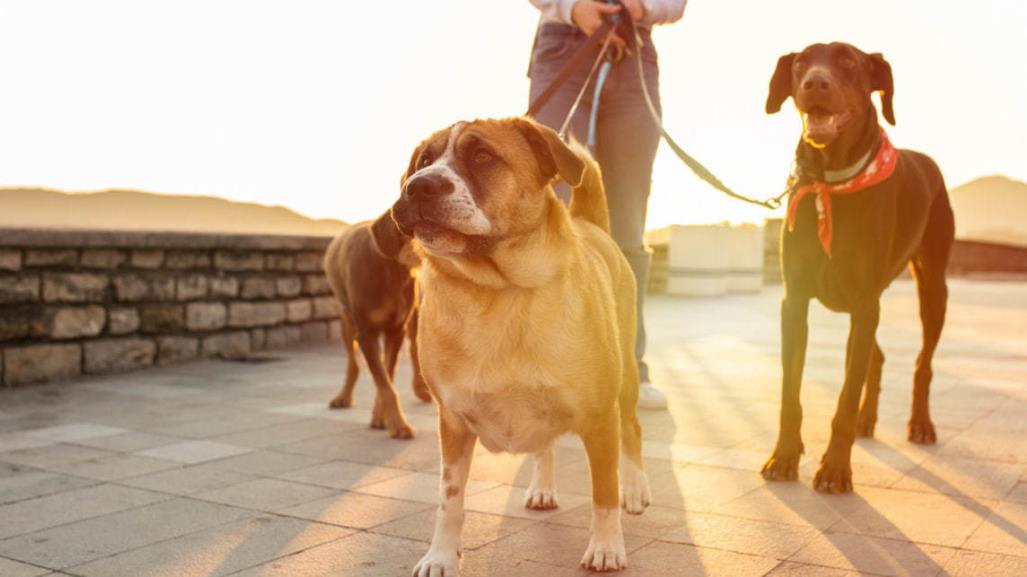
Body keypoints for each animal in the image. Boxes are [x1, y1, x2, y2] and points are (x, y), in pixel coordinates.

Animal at [322, 217, 431, 437]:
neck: (390, 269)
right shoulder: (367, 333)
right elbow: (384, 382)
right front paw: (398, 424)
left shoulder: (396, 330)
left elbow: (387, 375)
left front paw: (383, 417)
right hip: (347, 322)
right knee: (353, 363)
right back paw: (343, 397)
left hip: (415, 312)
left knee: (414, 350)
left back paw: (420, 388)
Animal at [375, 114, 649, 570]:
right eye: (424, 161)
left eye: (483, 156)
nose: (419, 186)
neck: (496, 292)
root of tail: (590, 224)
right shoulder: (452, 423)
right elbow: (449, 499)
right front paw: (442, 555)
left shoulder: (599, 420)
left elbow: (603, 493)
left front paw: (607, 546)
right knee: (545, 444)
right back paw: (543, 487)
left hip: (626, 381)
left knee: (632, 432)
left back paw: (635, 487)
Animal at [764, 42, 953, 492]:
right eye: (800, 63)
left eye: (848, 60)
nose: (815, 83)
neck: (831, 182)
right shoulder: (795, 301)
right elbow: (790, 390)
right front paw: (785, 455)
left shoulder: (865, 301)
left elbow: (845, 398)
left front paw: (835, 468)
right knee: (876, 357)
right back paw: (870, 419)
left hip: (931, 287)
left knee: (921, 363)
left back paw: (920, 423)